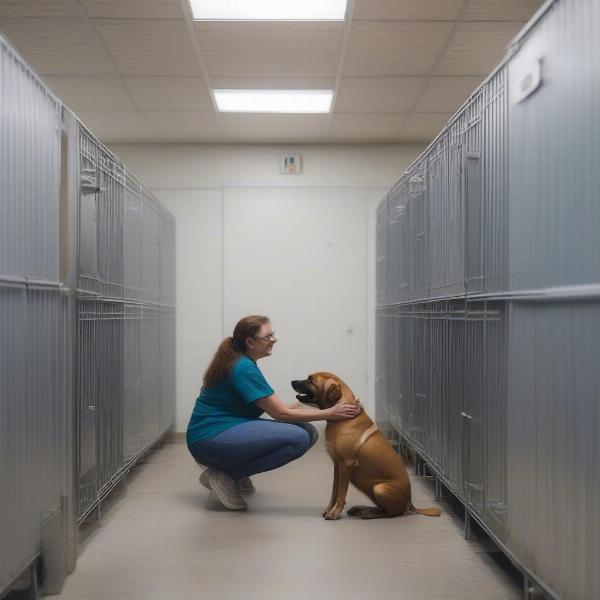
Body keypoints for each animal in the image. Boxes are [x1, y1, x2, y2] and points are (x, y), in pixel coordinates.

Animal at [290, 372, 440, 516]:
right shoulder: (337, 466)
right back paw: (361, 509)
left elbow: (341, 494)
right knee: (383, 508)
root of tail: (410, 504)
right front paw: (329, 509)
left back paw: (368, 513)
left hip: (380, 488)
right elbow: (334, 492)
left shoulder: (345, 465)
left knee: (392, 513)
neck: (343, 419)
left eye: (310, 380)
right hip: (372, 490)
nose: (292, 381)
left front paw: (335, 513)